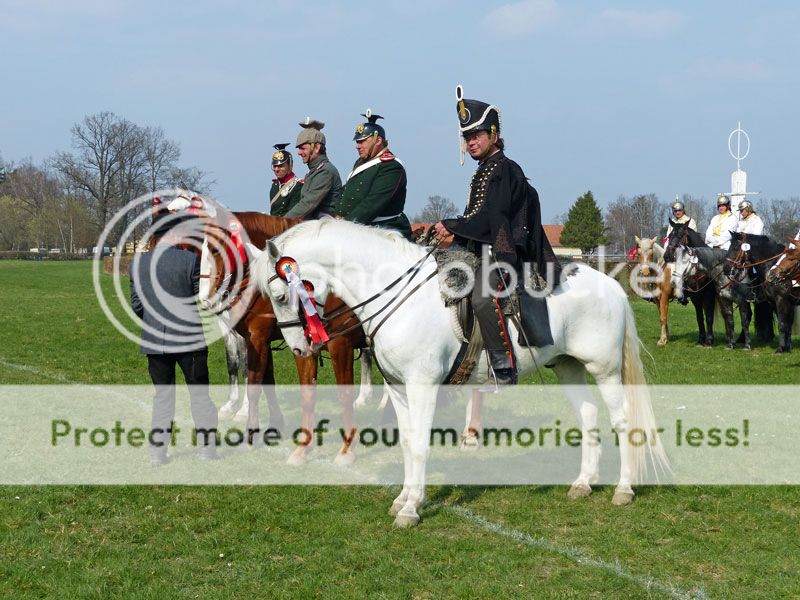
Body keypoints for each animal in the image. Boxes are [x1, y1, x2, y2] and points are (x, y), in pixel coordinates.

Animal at [200, 209, 376, 466]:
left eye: (215, 249)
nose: (204, 298)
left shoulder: (336, 345)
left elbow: (254, 386)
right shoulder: (276, 343)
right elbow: (275, 384)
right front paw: (277, 429)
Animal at [255, 219, 668, 524]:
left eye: (280, 295)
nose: (299, 348)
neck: (398, 296)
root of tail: (613, 286)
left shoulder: (422, 386)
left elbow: (420, 445)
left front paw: (411, 509)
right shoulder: (399, 389)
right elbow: (407, 443)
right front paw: (404, 497)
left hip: (605, 370)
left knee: (623, 421)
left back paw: (623, 489)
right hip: (567, 367)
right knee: (588, 415)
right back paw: (583, 482)